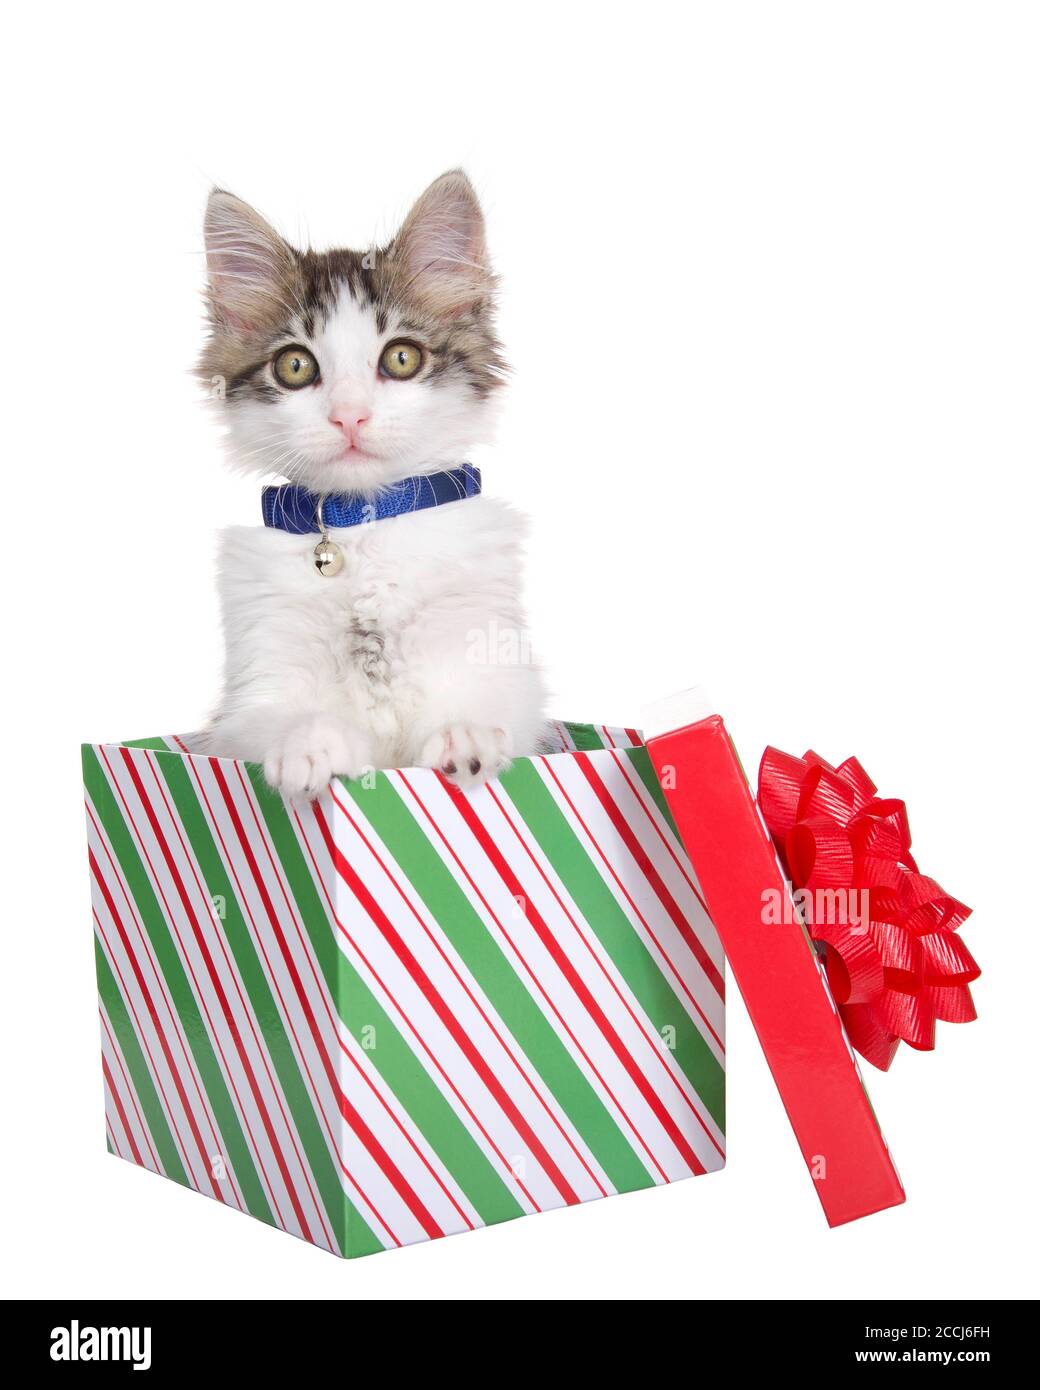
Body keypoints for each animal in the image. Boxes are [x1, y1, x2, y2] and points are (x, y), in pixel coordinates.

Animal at [193, 173, 545, 800]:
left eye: (401, 358)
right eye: (295, 367)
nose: (349, 417)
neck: (361, 528)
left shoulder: (495, 654)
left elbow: (494, 703)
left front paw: (466, 735)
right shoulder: (246, 697)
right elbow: (272, 718)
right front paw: (308, 745)